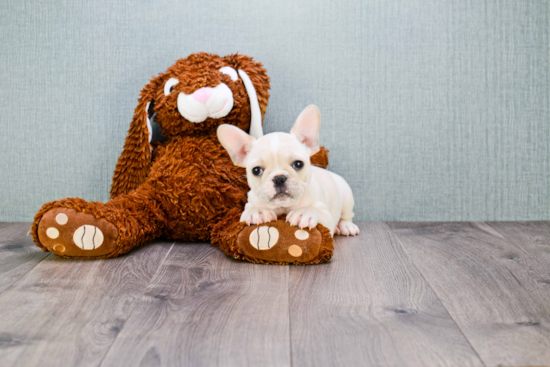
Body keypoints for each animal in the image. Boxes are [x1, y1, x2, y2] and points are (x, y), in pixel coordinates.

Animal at [218, 104, 360, 236]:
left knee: (347, 215)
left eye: (298, 164)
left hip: (347, 197)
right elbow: (250, 210)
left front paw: (304, 213)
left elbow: (316, 211)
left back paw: (346, 226)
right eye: (256, 170)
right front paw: (258, 212)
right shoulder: (246, 210)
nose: (279, 178)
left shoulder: (325, 214)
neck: (283, 206)